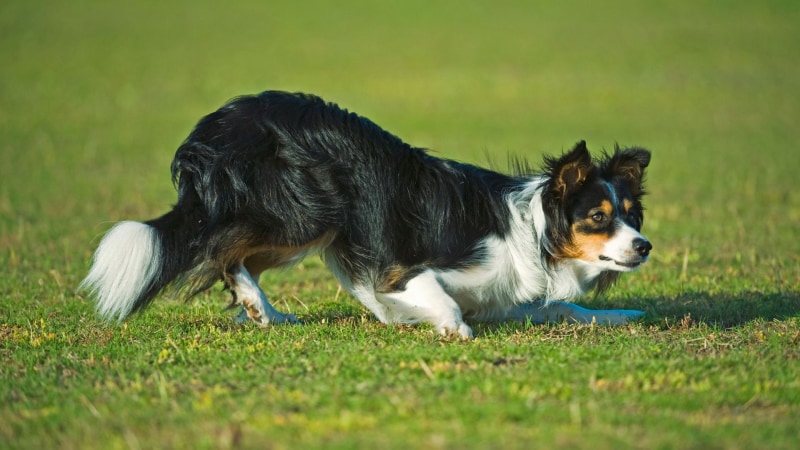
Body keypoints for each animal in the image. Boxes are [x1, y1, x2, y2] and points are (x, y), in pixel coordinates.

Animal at [81, 90, 648, 338]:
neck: (536, 230)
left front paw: (621, 315)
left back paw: (267, 312)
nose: (644, 247)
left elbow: (566, 307)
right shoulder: (400, 269)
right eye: (598, 217)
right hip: (307, 213)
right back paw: (259, 307)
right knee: (220, 250)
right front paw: (451, 330)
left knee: (234, 256)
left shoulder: (504, 295)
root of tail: (219, 123)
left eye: (632, 216)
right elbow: (439, 296)